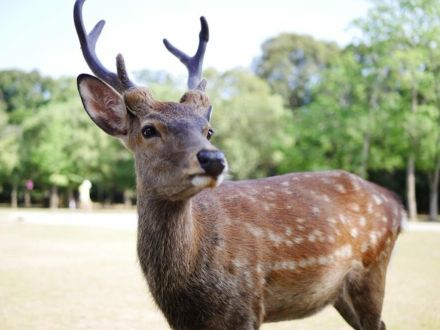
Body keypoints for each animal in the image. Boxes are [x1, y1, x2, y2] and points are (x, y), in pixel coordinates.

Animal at [73, 1, 406, 328]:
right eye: (148, 130)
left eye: (208, 130)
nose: (213, 159)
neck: (183, 291)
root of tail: (396, 203)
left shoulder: (246, 306)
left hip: (372, 270)